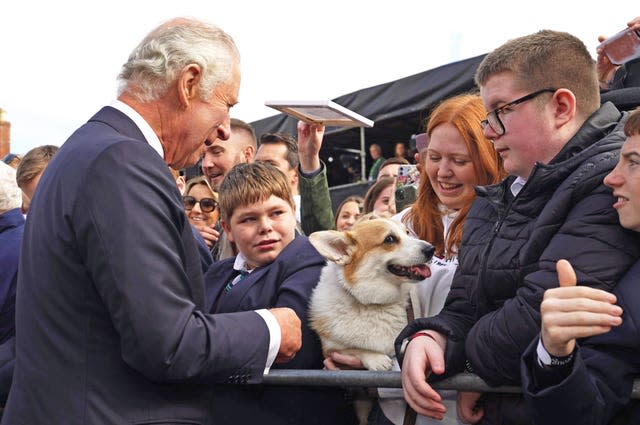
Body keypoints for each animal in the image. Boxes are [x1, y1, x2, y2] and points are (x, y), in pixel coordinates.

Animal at [308, 219, 432, 372]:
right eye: (389, 239)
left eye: (407, 232)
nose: (431, 249)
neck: (374, 303)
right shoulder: (331, 351)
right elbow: (354, 349)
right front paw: (376, 359)